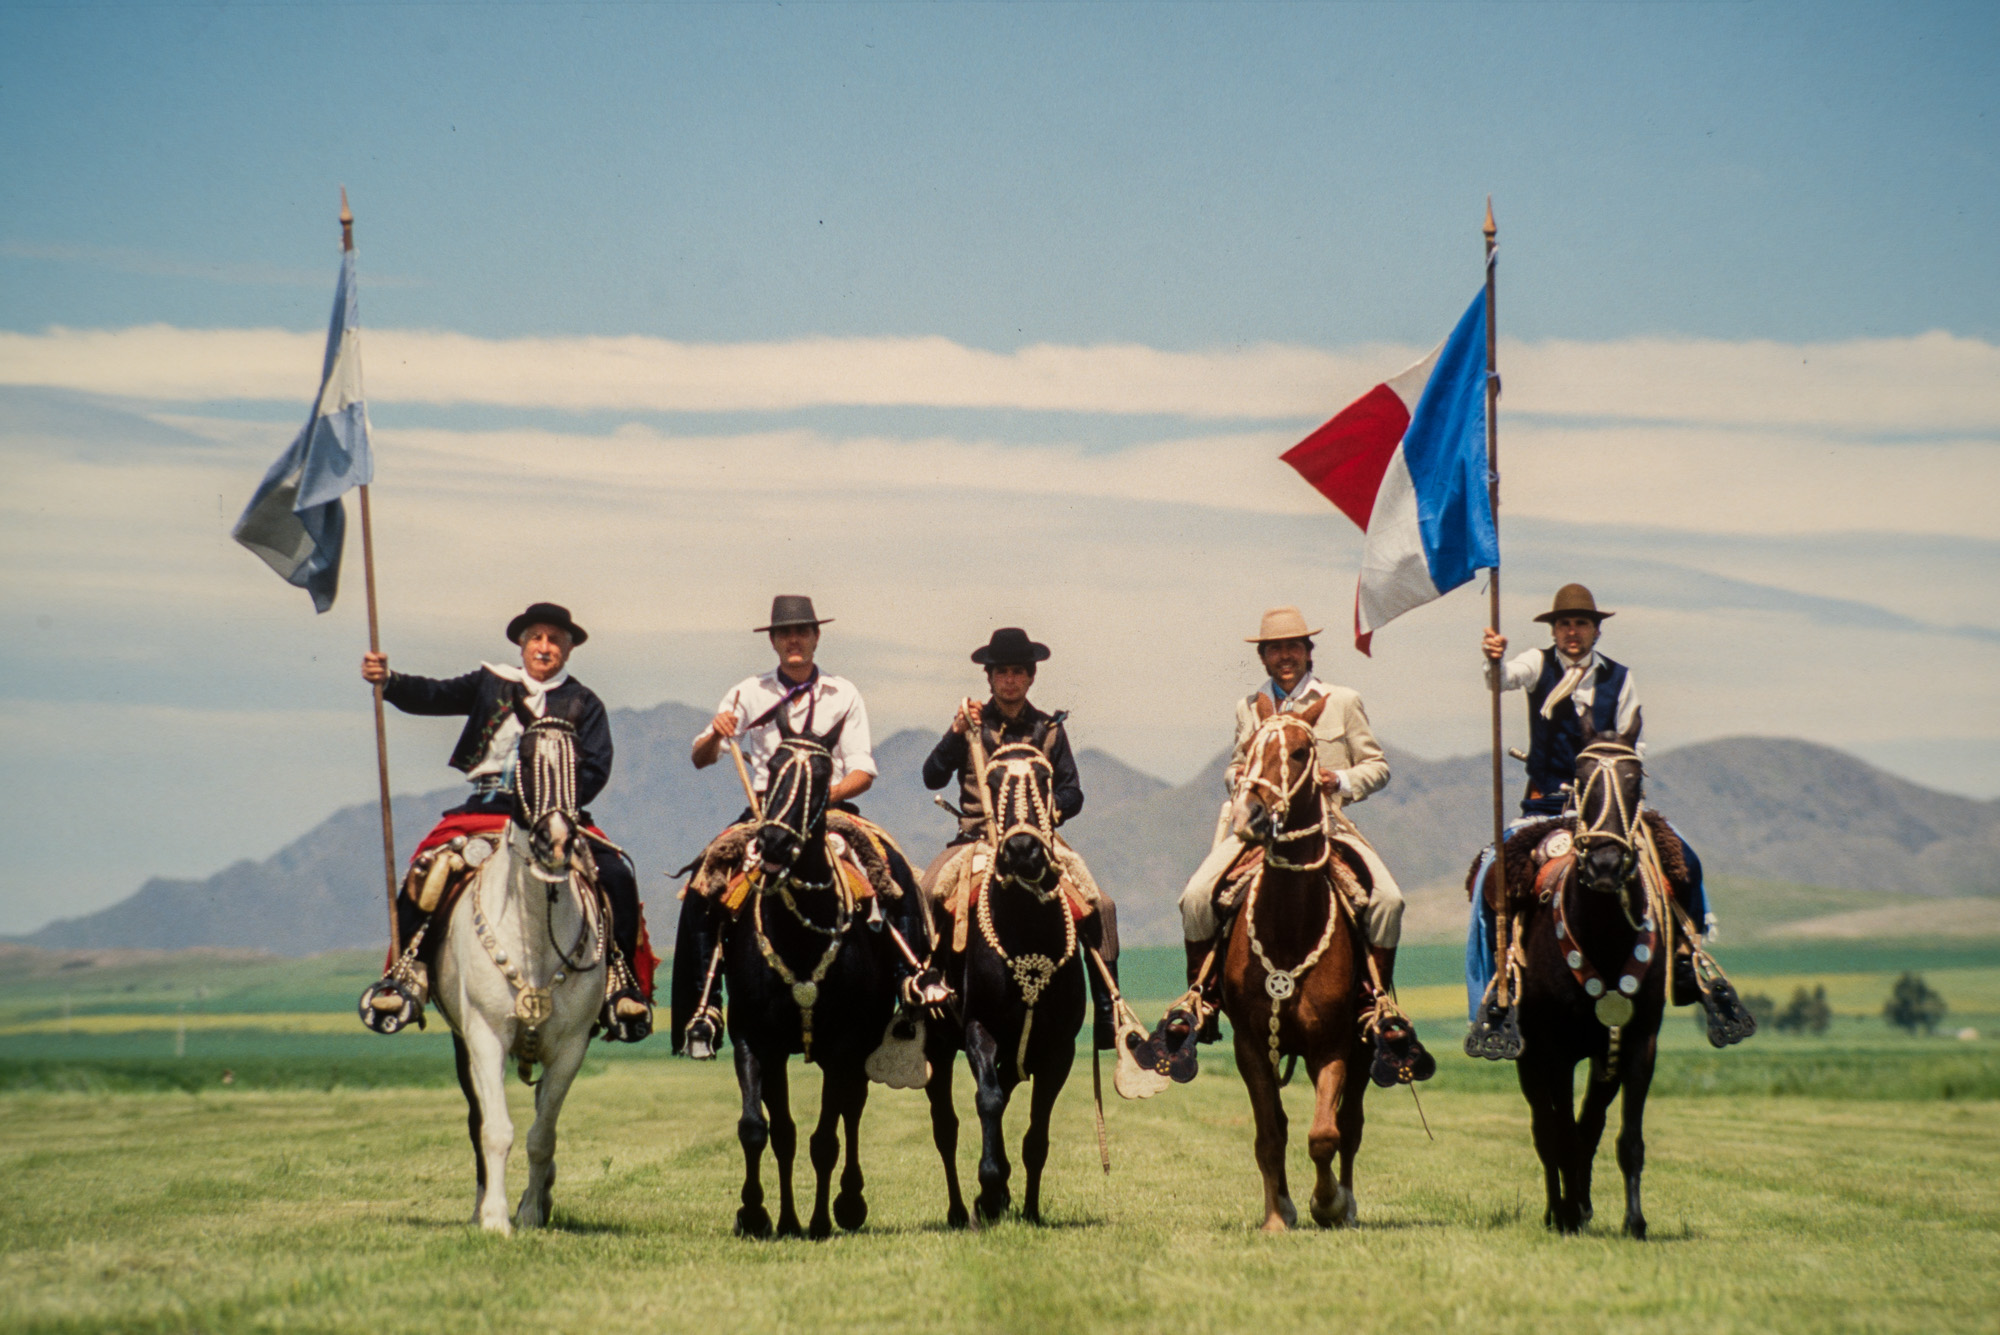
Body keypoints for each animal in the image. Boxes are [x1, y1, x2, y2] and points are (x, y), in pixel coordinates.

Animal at [428, 719, 600, 1231]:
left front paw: (528, 1212)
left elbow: (543, 1133)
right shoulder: (484, 1037)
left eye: (580, 762)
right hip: (463, 1043)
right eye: (522, 760)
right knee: (477, 1120)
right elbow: (495, 1130)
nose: (557, 842)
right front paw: (494, 1218)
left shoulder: (571, 1048)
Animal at [920, 739, 1096, 1223]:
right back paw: (960, 1210)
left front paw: (1028, 1208)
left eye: (1046, 778)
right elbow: (988, 1101)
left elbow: (1037, 1131)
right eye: (993, 779)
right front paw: (991, 1187)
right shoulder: (980, 1029)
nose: (1021, 851)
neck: (1025, 926)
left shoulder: (1058, 1049)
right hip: (937, 1046)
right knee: (945, 1127)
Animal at [1216, 699, 1376, 1231]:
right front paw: (1278, 1214)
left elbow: (1326, 1134)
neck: (1289, 929)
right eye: (1249, 748)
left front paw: (1327, 1204)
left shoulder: (1333, 1045)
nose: (1250, 814)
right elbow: (1271, 1134)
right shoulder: (1250, 1046)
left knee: (1351, 1124)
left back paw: (1347, 1205)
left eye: (1302, 751)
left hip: (1366, 1045)